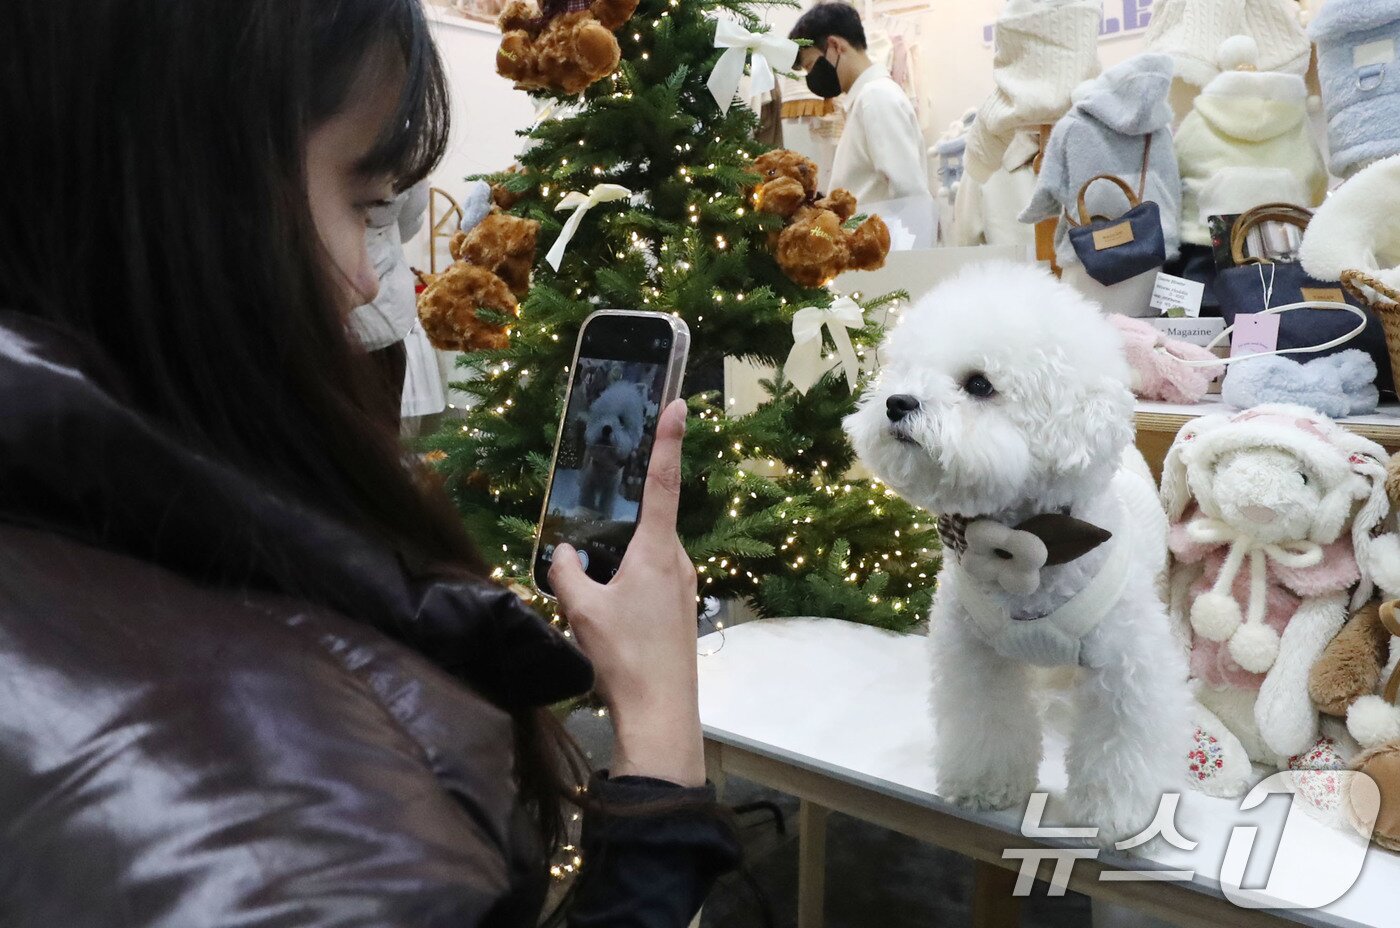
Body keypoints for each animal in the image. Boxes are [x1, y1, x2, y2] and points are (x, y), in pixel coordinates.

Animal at [576, 380, 646, 517]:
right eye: (601, 416)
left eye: (621, 420)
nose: (606, 428)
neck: (605, 465)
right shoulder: (589, 482)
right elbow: (587, 499)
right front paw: (586, 511)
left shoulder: (610, 489)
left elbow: (606, 505)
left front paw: (605, 515)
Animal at [845, 261, 1187, 851]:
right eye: (903, 372)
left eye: (979, 384)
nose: (896, 403)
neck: (1026, 544)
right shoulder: (975, 658)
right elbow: (988, 722)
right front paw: (986, 786)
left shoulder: (1126, 666)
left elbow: (1119, 744)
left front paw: (1117, 818)